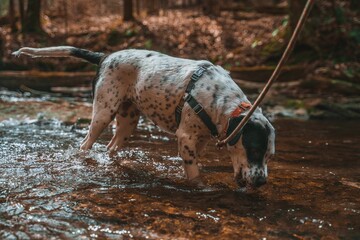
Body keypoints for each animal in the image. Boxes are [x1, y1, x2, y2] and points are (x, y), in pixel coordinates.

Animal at [11, 46, 276, 189]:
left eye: (269, 155)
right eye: (254, 149)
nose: (262, 182)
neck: (222, 101)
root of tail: (105, 57)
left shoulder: (199, 141)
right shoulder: (186, 138)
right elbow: (194, 174)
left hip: (128, 122)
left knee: (110, 148)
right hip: (102, 114)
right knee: (85, 144)